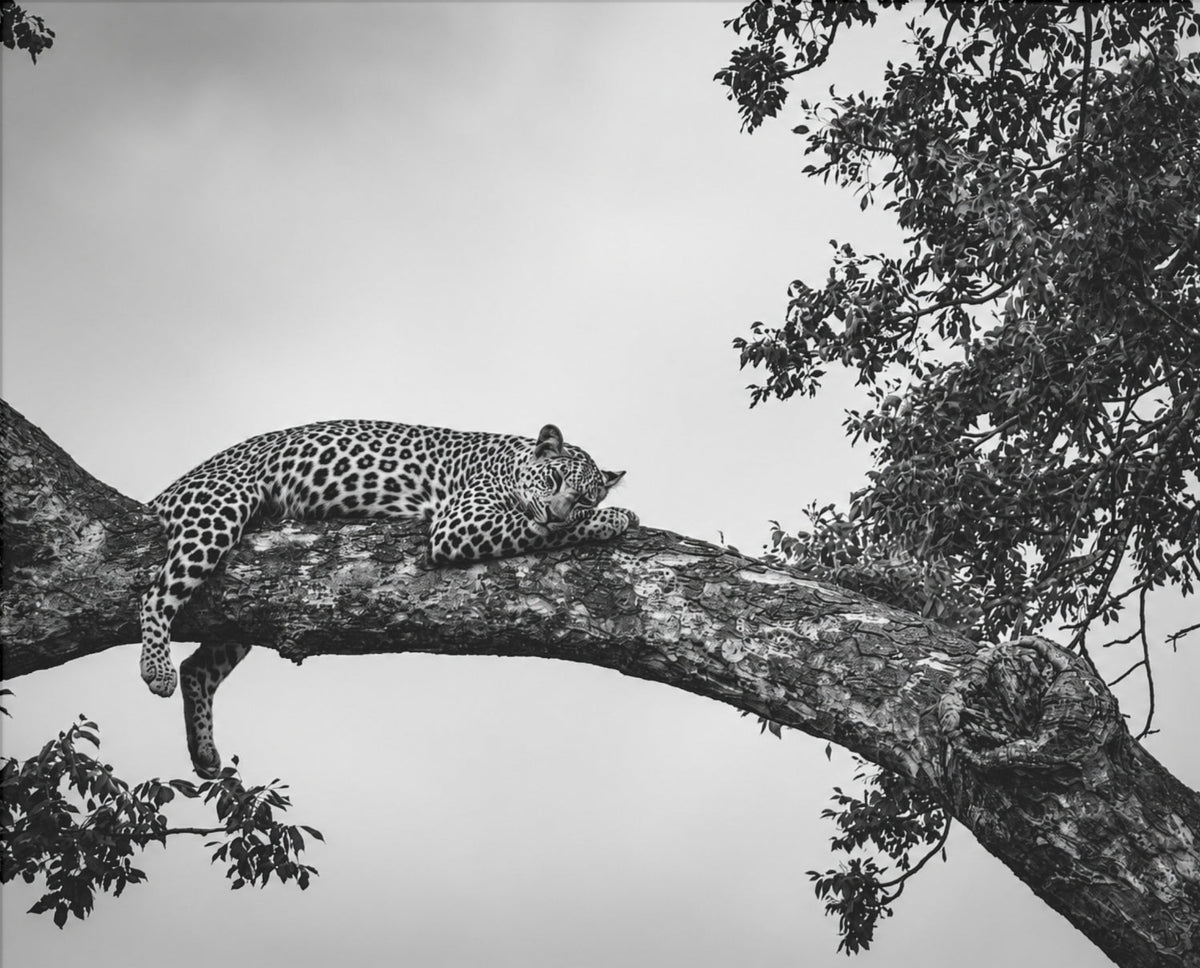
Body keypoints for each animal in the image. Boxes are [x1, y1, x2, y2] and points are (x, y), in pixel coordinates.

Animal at [139, 419, 637, 777]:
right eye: (553, 479)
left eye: (583, 498)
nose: (557, 513)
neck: (509, 459)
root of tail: (165, 492)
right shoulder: (460, 522)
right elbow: (535, 526)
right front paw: (616, 516)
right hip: (219, 510)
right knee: (154, 596)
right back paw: (156, 670)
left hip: (244, 606)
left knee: (198, 667)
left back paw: (204, 751)